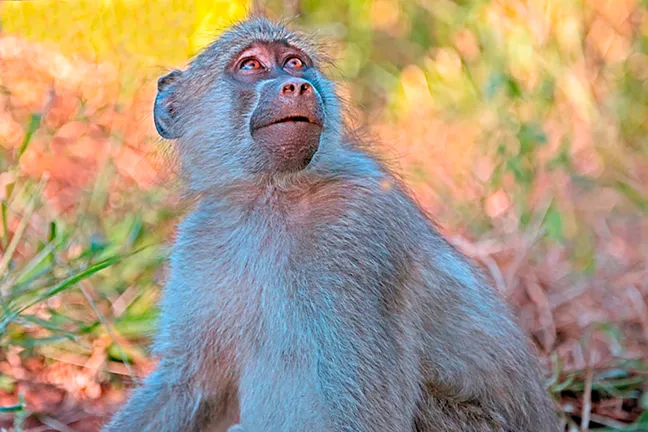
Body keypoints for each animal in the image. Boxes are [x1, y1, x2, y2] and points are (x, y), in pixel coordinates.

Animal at [102, 17, 561, 432]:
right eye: (250, 66)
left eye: (294, 63)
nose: (297, 87)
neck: (271, 198)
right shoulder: (203, 238)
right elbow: (192, 386)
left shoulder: (355, 233)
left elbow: (363, 418)